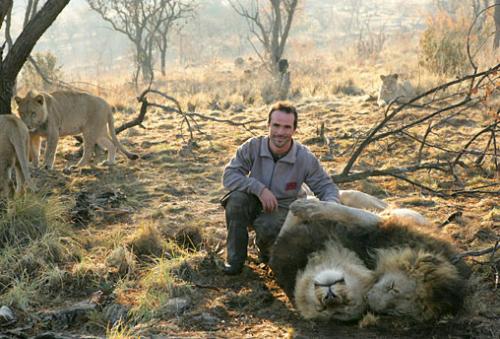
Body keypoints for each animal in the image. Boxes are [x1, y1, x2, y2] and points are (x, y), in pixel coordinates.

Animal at [270, 199, 468, 324]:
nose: (369, 299)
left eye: (393, 311)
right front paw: (306, 205)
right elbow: (348, 212)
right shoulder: (382, 228)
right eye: (392, 287)